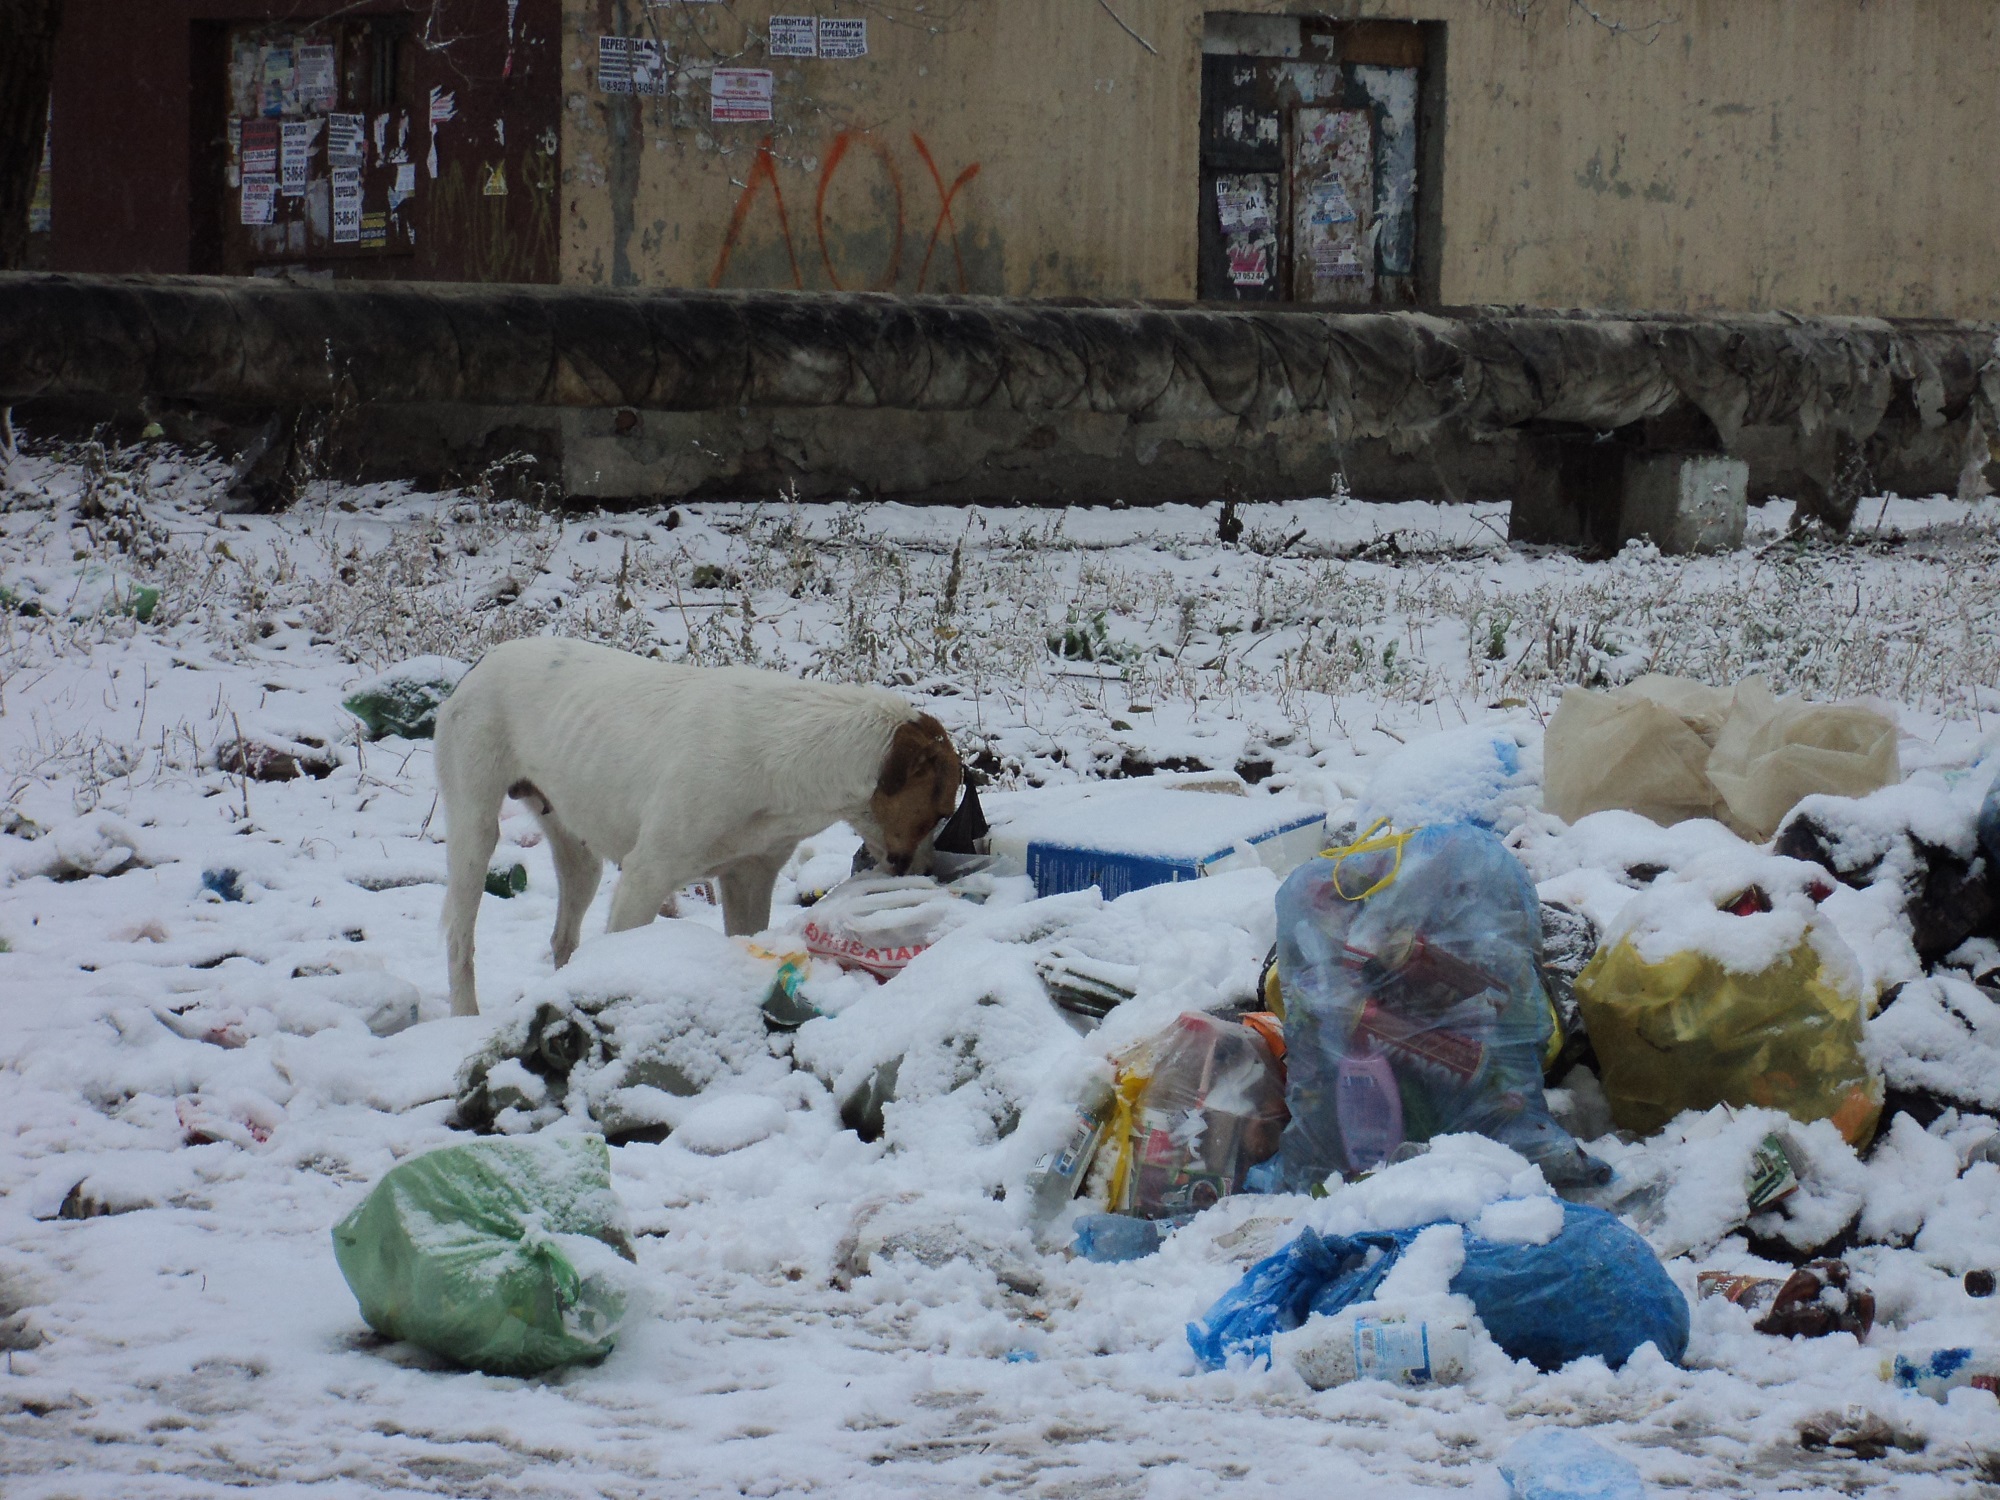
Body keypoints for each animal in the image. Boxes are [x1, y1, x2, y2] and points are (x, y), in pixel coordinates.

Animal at [434, 640, 964, 1016]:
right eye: (939, 811)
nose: (930, 872)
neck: (785, 756)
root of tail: (481, 662)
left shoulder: (749, 879)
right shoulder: (645, 878)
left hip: (579, 855)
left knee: (564, 936)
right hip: (474, 834)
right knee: (459, 941)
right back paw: (465, 1016)